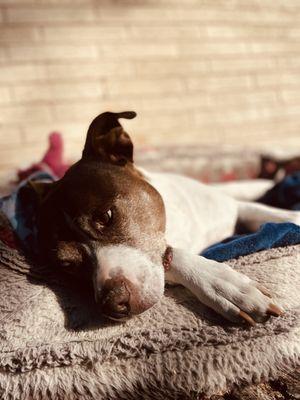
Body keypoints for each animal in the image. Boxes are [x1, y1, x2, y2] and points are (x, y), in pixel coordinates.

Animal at [31, 111, 300, 324]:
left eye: (106, 216)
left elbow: (272, 214)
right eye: (67, 265)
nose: (112, 304)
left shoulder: (235, 208)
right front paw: (223, 285)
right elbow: (173, 258)